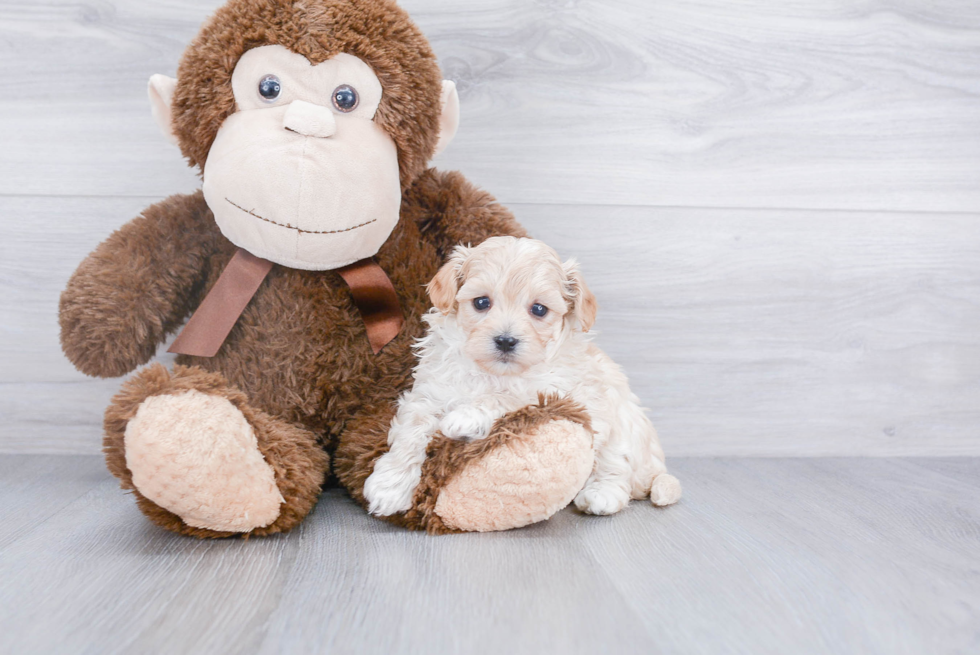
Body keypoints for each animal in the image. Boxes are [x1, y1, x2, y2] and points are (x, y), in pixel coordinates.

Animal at [362, 236, 680, 516]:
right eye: (481, 302)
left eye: (539, 309)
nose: (505, 340)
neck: (492, 373)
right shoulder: (428, 394)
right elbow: (411, 432)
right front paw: (389, 487)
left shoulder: (553, 392)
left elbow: (505, 397)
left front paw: (466, 417)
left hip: (622, 423)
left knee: (617, 468)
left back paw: (601, 494)